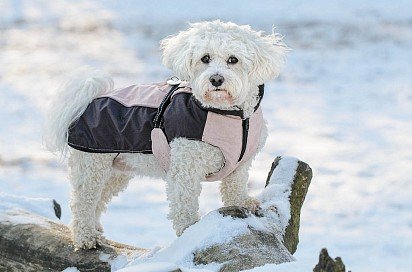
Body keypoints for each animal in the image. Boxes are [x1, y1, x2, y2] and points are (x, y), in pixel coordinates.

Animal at [42, 20, 286, 250]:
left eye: (233, 60)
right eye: (205, 58)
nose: (216, 79)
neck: (230, 114)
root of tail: (86, 104)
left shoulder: (240, 164)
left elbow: (235, 186)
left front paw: (243, 203)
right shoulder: (185, 166)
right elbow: (184, 204)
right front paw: (190, 232)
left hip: (116, 171)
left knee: (98, 200)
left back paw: (94, 229)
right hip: (92, 165)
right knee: (83, 202)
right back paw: (85, 237)